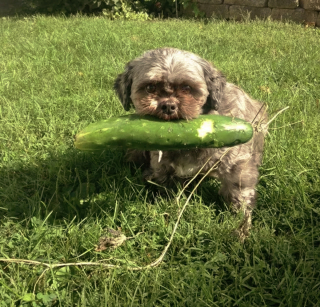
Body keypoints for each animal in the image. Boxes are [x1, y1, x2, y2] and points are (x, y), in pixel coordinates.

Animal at [114, 48, 266, 241]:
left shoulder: (236, 164)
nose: (168, 106)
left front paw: (241, 226)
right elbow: (164, 185)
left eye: (187, 88)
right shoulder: (161, 163)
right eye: (150, 87)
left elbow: (239, 192)